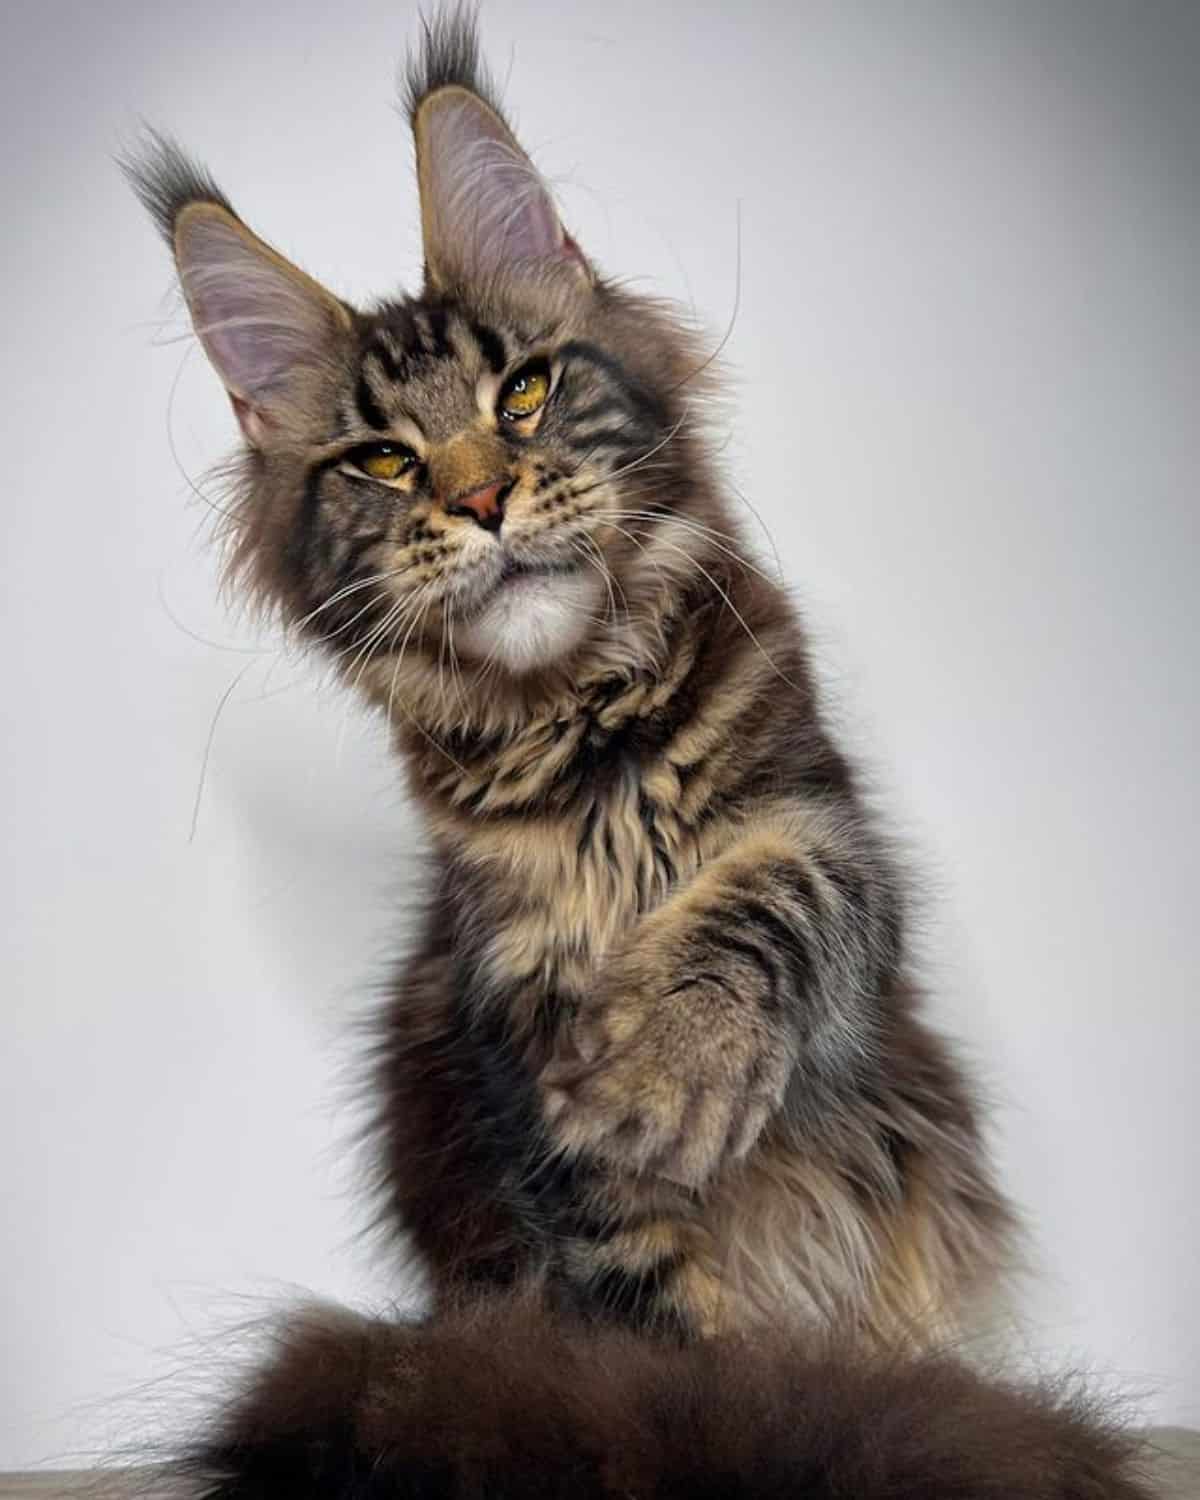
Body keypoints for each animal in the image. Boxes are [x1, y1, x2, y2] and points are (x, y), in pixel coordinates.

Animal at [124, 5, 1152, 1494]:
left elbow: (764, 900)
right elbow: (643, 1307)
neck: (586, 740)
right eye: (383, 463)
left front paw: (673, 1067)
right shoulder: (510, 1027)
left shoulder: (831, 840)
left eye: (526, 392)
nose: (483, 499)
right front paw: (704, 1412)